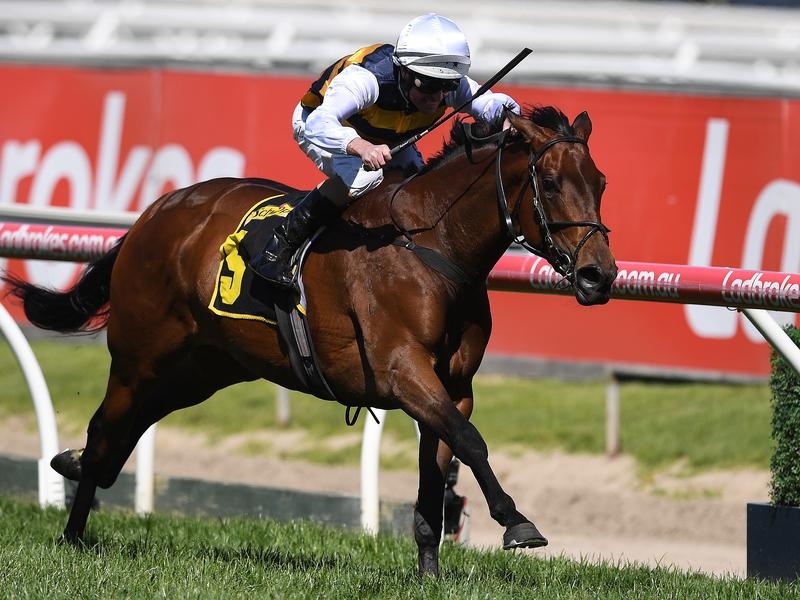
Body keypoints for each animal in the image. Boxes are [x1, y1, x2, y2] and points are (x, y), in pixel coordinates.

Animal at [3, 106, 616, 577]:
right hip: (140, 358)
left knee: (123, 435)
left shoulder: (452, 387)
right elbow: (471, 442)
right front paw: (516, 521)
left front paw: (429, 571)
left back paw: (75, 473)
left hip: (199, 370)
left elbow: (438, 468)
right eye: (552, 183)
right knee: (106, 431)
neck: (434, 244)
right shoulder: (403, 371)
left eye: (601, 183)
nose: (599, 276)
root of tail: (153, 214)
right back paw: (73, 532)